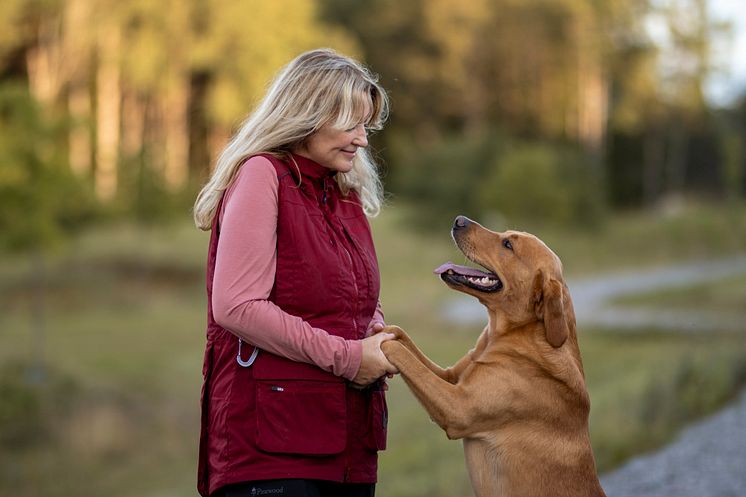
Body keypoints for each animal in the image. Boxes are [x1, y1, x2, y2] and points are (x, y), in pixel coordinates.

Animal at [380, 216, 600, 496]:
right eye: (505, 235)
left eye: (508, 245)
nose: (459, 220)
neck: (512, 332)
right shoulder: (450, 376)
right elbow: (404, 340)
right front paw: (382, 329)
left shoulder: (457, 407)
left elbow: (403, 354)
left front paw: (375, 346)